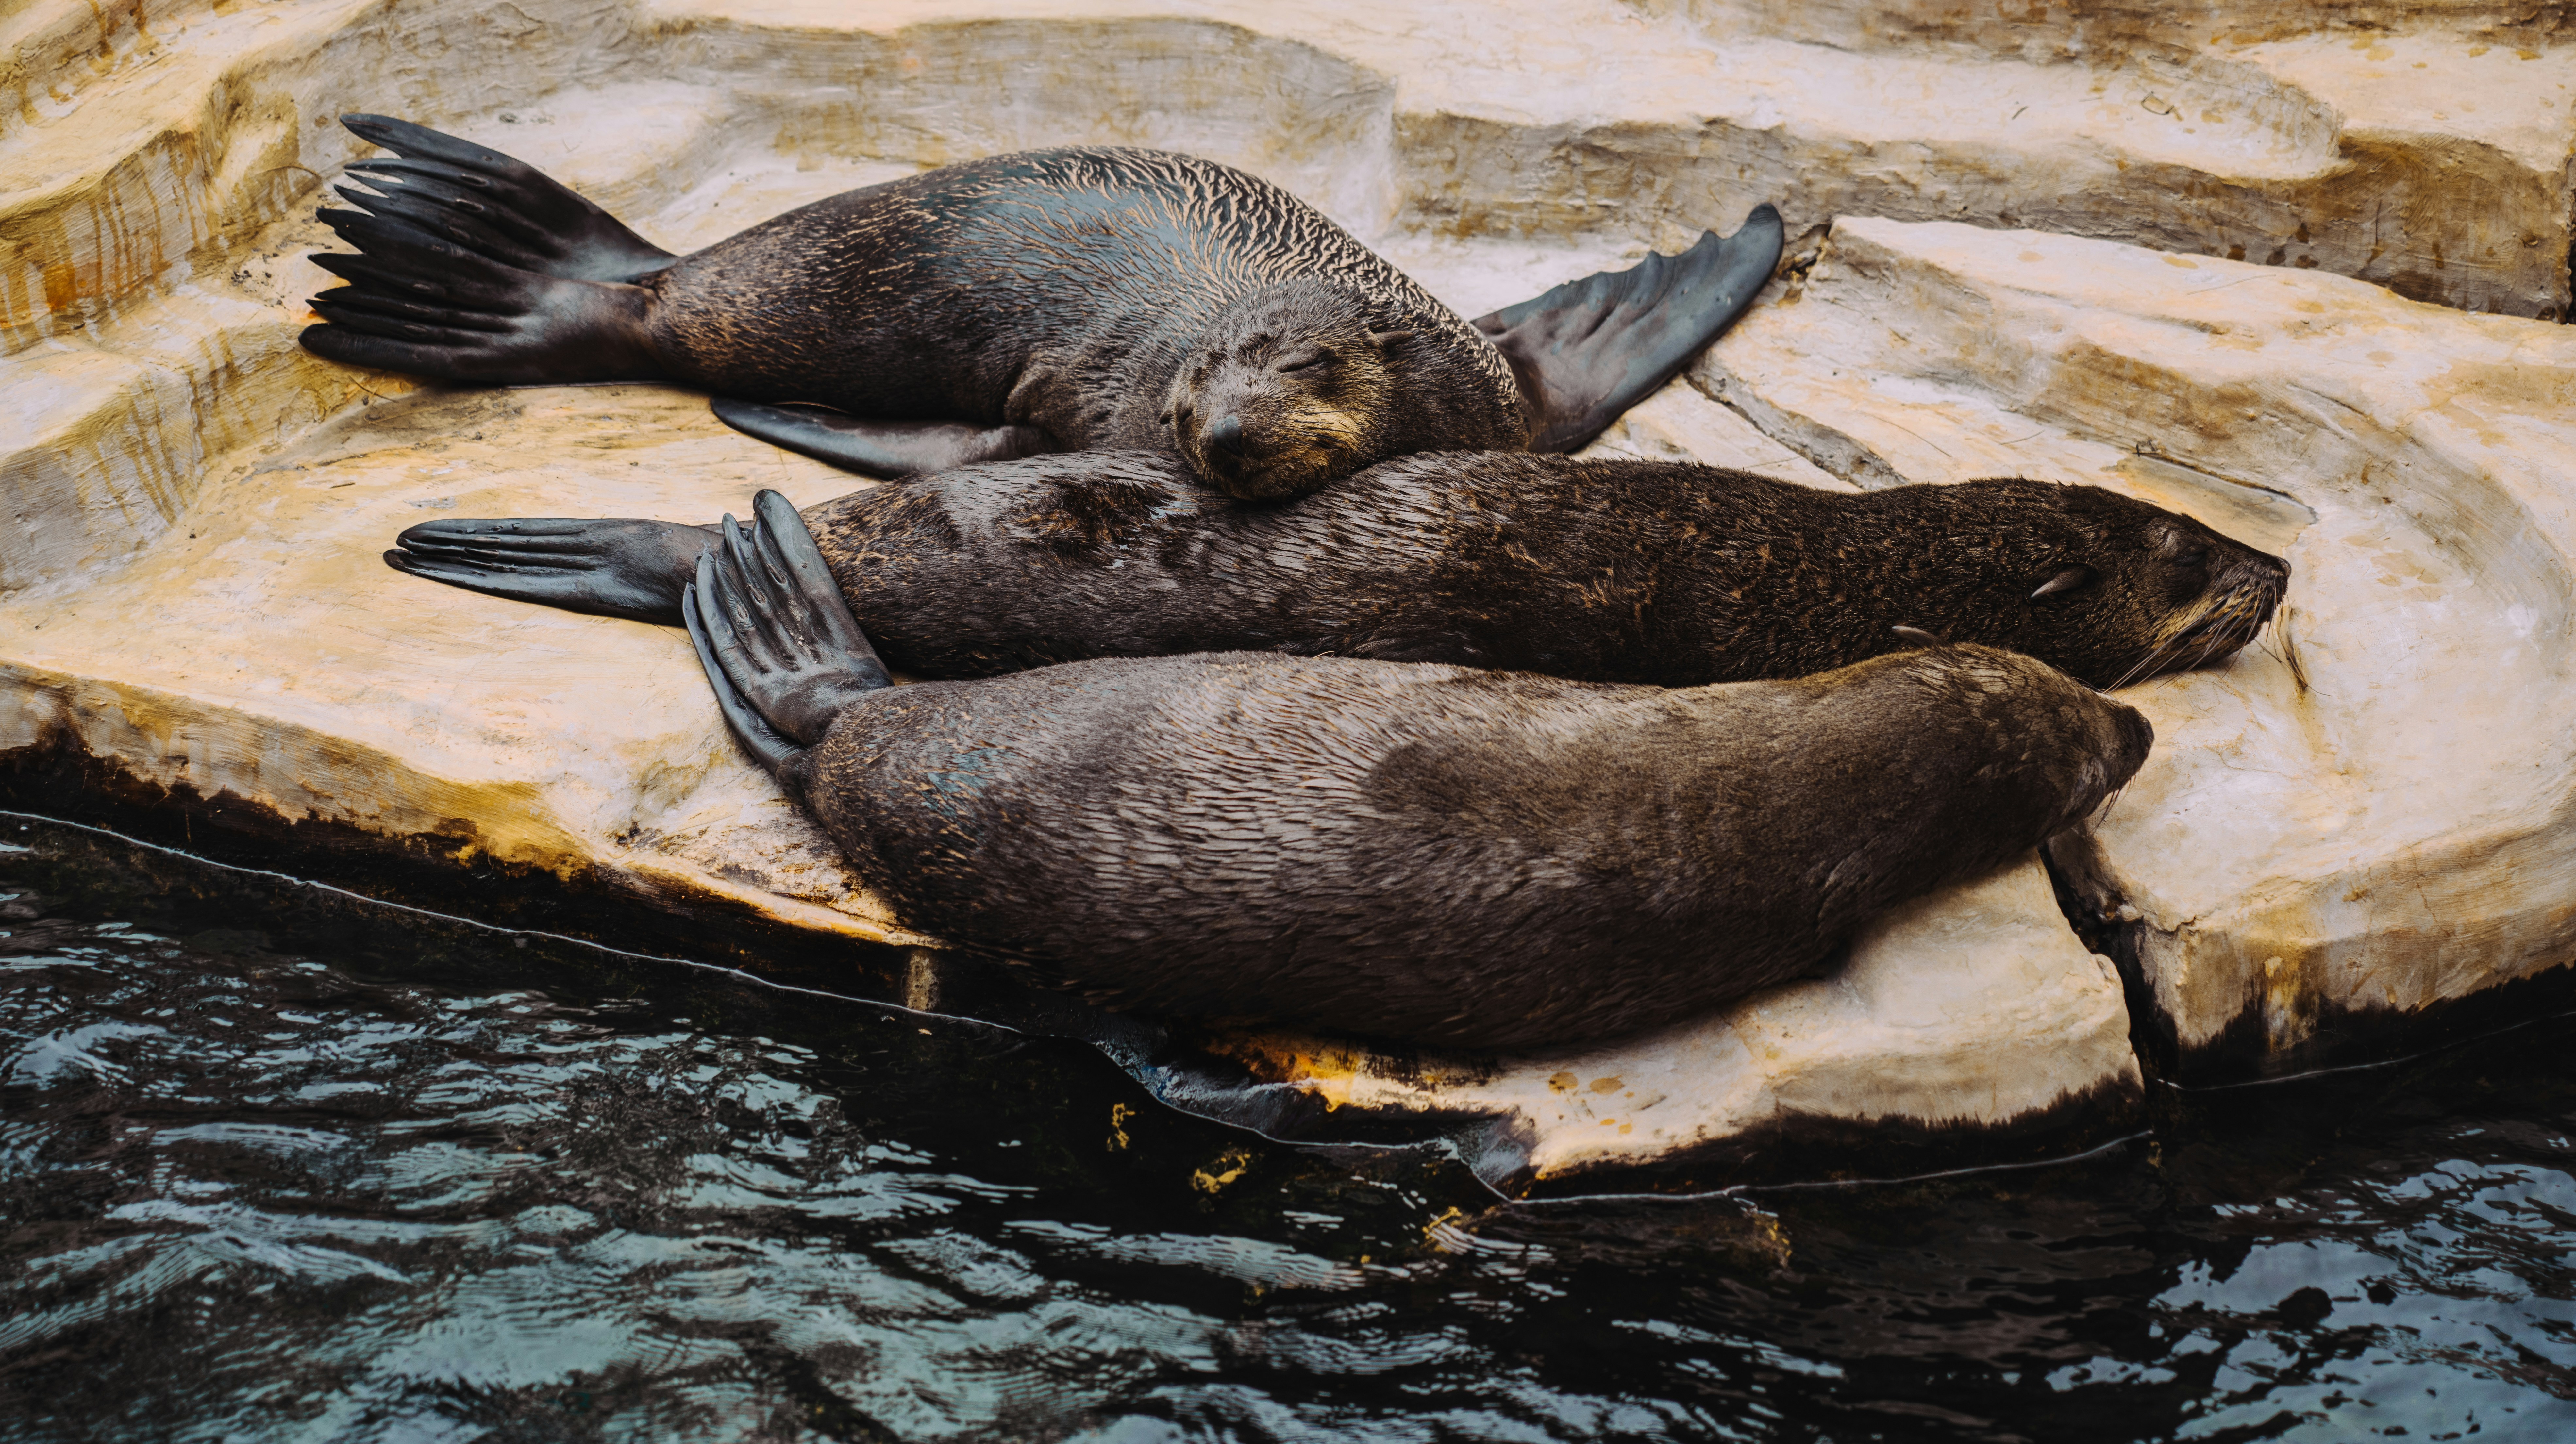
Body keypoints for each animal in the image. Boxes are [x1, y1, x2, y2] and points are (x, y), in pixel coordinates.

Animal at [299, 115, 1782, 500]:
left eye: (1313, 365)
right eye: (1184, 400)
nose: (1224, 439)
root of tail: (627, 270)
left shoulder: (1500, 393)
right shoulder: (1079, 400)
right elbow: (1024, 435)